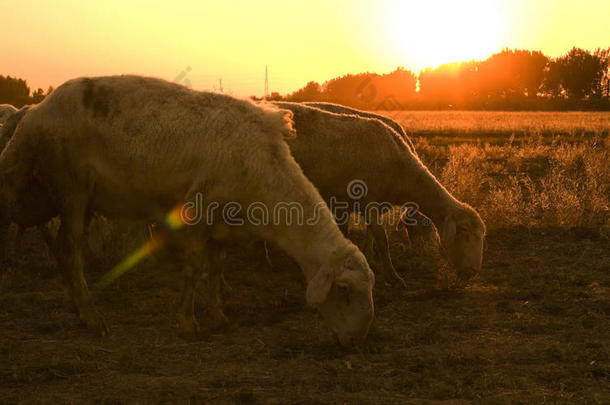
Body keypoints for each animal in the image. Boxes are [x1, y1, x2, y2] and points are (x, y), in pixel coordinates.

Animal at [0, 75, 376, 344]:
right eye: (344, 290)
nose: (356, 341)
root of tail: (35, 113)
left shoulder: (225, 222)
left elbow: (216, 268)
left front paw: (219, 316)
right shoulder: (199, 210)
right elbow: (195, 269)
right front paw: (187, 322)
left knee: (62, 249)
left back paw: (78, 309)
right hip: (71, 187)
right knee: (69, 250)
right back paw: (91, 317)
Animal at [270, 102, 484, 284]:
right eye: (465, 234)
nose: (474, 273)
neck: (403, 173)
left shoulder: (353, 204)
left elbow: (361, 234)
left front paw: (365, 258)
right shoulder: (368, 202)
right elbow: (382, 240)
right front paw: (393, 278)